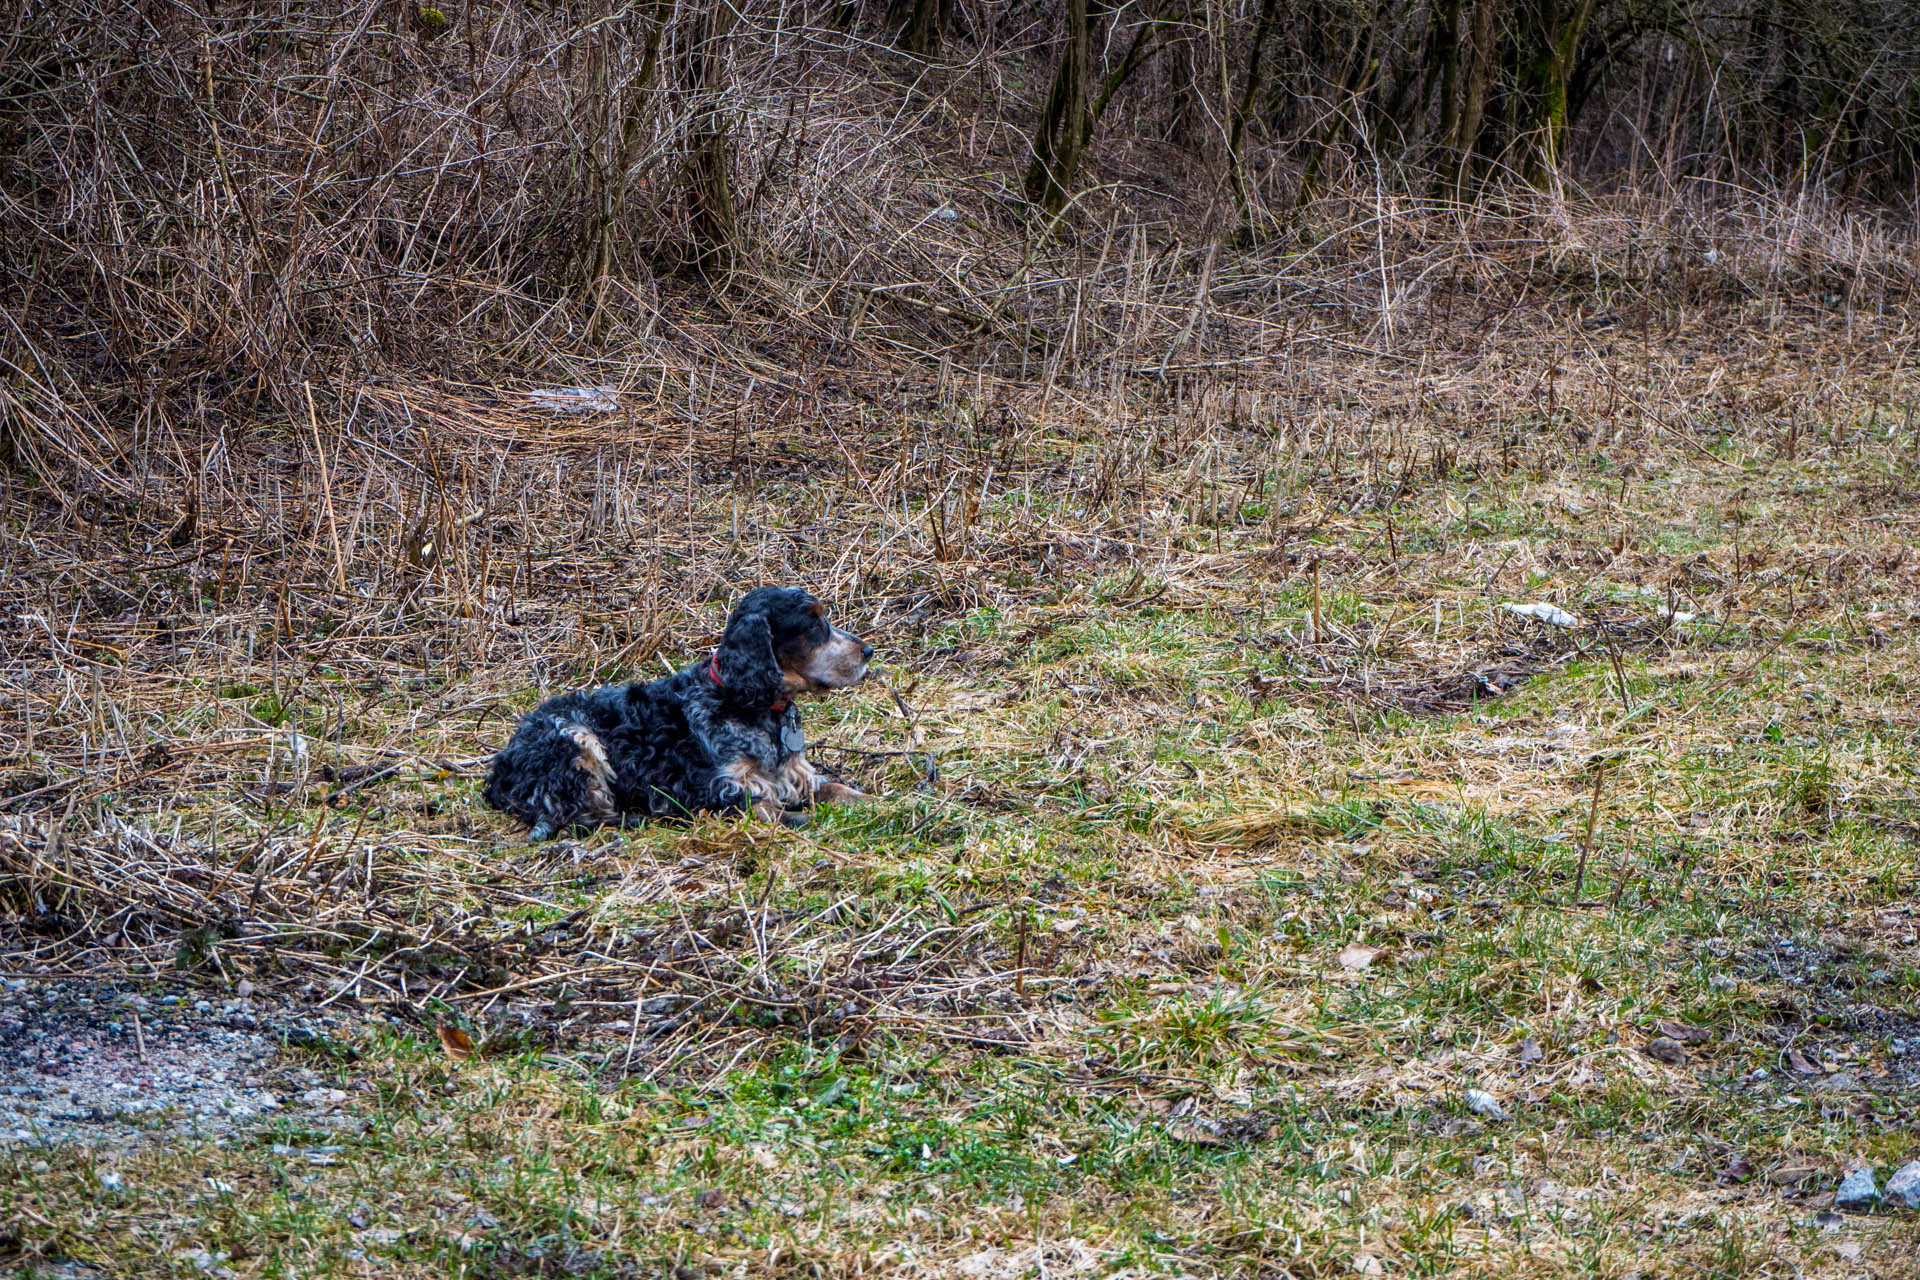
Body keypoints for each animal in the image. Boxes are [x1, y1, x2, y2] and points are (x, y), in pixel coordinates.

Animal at [483, 591, 875, 840]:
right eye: (812, 625)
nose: (868, 650)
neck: (754, 706)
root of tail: (500, 766)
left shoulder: (794, 775)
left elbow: (835, 787)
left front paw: (876, 804)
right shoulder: (717, 787)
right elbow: (765, 809)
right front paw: (806, 819)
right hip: (577, 740)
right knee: (585, 816)